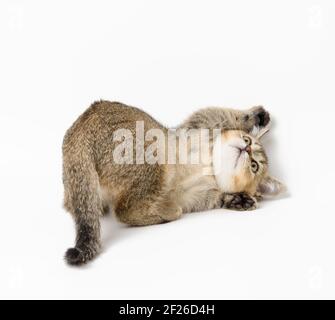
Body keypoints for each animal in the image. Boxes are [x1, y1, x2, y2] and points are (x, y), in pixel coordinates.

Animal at [61, 102, 284, 264]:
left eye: (254, 166)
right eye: (247, 140)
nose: (246, 149)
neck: (211, 168)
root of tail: (80, 130)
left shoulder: (197, 197)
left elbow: (219, 197)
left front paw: (239, 199)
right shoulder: (199, 125)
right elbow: (222, 113)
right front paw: (257, 116)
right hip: (154, 152)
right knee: (125, 210)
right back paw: (167, 212)